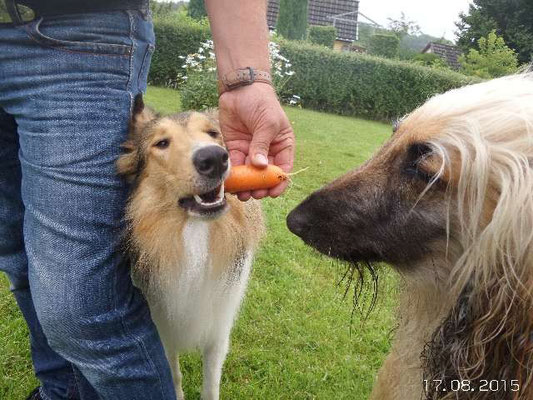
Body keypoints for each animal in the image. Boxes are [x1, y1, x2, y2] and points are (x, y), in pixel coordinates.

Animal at [118, 95, 264, 398]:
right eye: (162, 143)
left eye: (213, 133)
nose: (214, 158)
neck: (194, 236)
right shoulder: (161, 325)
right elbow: (172, 374)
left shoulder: (218, 325)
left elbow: (211, 384)